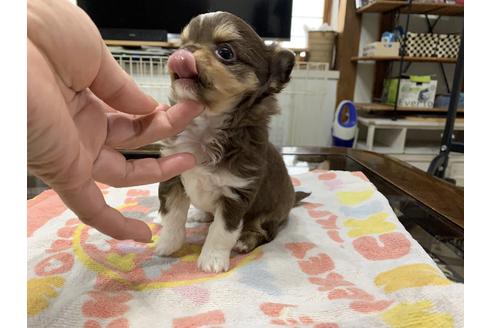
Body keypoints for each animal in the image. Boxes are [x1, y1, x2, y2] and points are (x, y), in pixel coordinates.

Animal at [156, 11, 308, 272]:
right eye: (182, 43)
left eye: (225, 52)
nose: (183, 52)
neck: (207, 124)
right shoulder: (173, 175)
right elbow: (172, 215)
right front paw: (168, 244)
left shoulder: (236, 192)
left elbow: (221, 232)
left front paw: (212, 260)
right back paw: (201, 214)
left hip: (268, 215)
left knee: (263, 231)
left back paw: (246, 241)